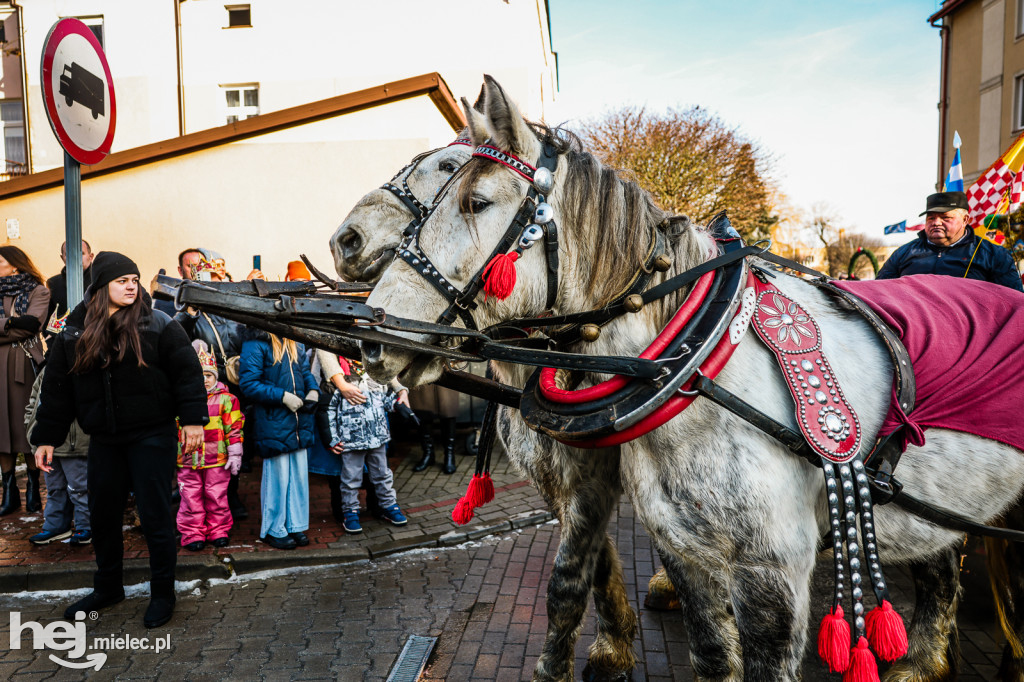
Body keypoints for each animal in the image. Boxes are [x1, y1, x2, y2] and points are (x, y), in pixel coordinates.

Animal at [358, 76, 1024, 675]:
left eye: (474, 200)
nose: (372, 322)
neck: (698, 370)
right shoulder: (684, 549)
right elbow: (698, 648)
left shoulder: (771, 572)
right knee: (941, 560)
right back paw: (927, 660)